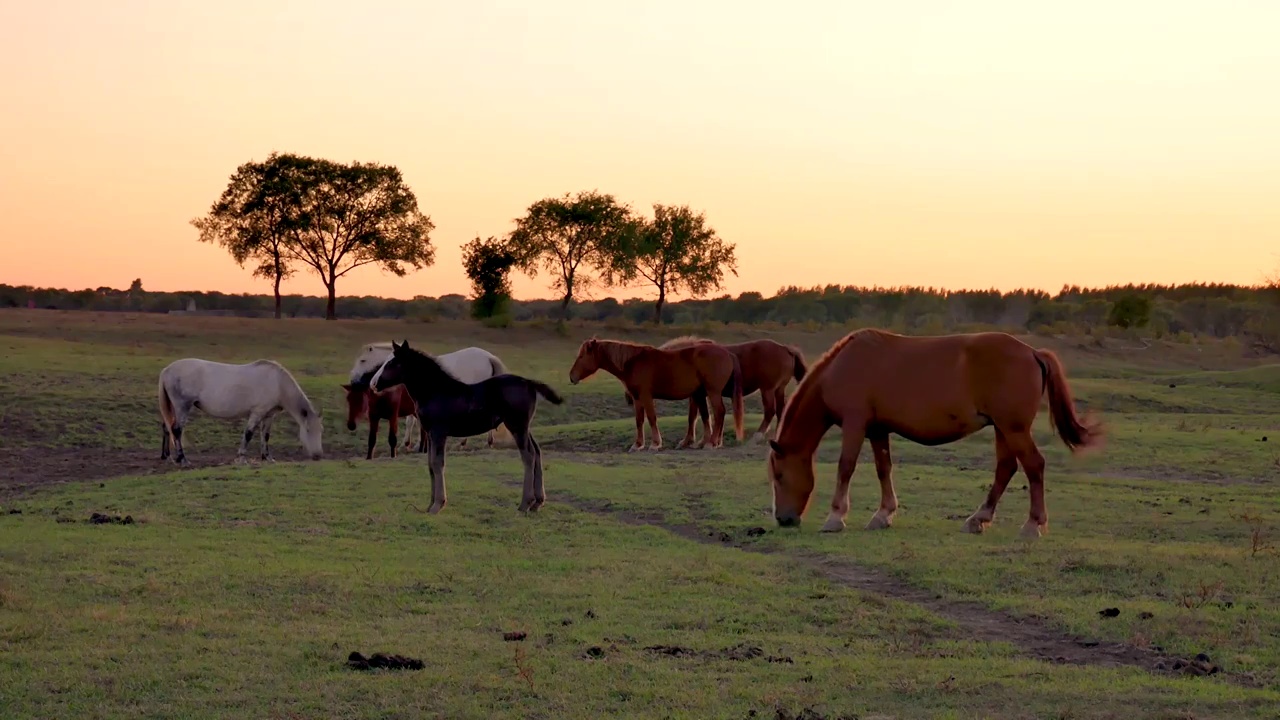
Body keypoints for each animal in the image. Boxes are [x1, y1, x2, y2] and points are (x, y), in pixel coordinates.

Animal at [158, 356, 325, 466]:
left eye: (321, 430)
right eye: (308, 430)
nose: (318, 455)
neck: (277, 383)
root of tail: (166, 370)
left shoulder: (269, 415)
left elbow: (265, 436)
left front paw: (267, 457)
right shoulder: (257, 413)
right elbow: (249, 434)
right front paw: (242, 458)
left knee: (167, 428)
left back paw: (167, 456)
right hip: (182, 407)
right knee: (176, 430)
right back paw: (182, 459)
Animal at [568, 335, 747, 448]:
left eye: (582, 356)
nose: (571, 377)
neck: (633, 362)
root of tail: (727, 353)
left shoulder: (646, 397)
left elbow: (652, 418)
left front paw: (655, 444)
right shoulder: (637, 399)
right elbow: (639, 420)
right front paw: (638, 444)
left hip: (713, 392)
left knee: (719, 412)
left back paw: (711, 443)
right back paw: (714, 442)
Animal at [624, 335, 803, 443]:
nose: (629, 397)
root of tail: (786, 349)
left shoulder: (697, 395)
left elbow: (697, 416)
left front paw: (694, 440)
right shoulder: (697, 395)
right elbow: (695, 416)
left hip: (767, 389)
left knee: (770, 411)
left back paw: (758, 436)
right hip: (779, 389)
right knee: (781, 411)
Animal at [762, 327, 1105, 535]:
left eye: (779, 476)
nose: (783, 519)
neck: (843, 367)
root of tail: (1032, 352)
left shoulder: (855, 424)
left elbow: (845, 467)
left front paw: (835, 517)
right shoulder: (877, 430)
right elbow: (883, 468)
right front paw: (883, 514)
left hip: (1014, 428)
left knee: (1034, 466)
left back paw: (1033, 525)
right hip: (1003, 429)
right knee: (1006, 468)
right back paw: (979, 519)